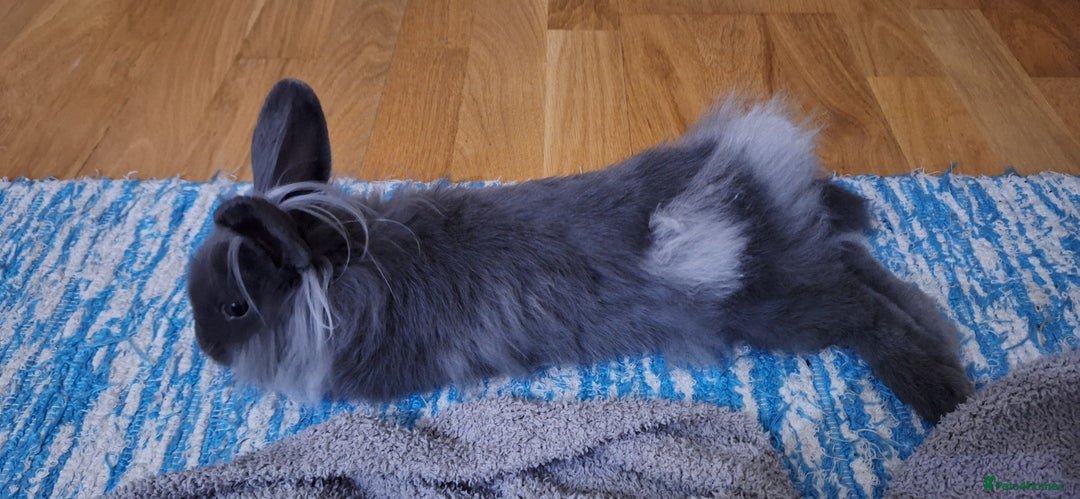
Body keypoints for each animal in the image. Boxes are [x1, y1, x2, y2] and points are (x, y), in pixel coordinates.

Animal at [187, 78, 973, 423]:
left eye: (235, 307)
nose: (204, 351)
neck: (345, 275)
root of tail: (753, 175)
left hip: (780, 306)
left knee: (867, 311)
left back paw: (945, 395)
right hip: (800, 262)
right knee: (868, 271)